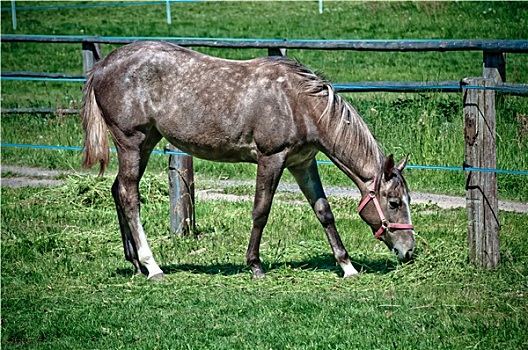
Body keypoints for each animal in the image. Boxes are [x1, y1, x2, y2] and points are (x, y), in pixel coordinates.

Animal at [80, 41, 414, 282]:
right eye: (394, 202)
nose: (409, 251)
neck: (298, 103)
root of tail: (102, 65)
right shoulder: (271, 159)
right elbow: (260, 212)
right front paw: (255, 265)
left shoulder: (303, 163)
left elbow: (324, 212)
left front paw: (347, 266)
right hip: (131, 141)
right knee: (129, 195)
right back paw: (153, 266)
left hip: (147, 141)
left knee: (118, 189)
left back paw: (135, 263)